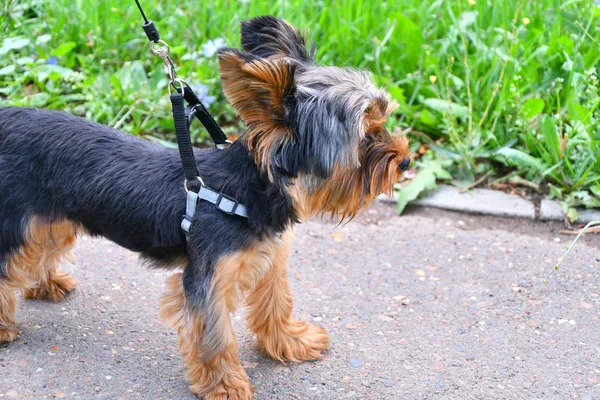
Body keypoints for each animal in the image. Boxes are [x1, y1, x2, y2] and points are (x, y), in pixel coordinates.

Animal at [0, 15, 410, 400]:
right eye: (366, 136)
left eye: (384, 120)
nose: (405, 160)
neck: (252, 192)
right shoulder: (208, 279)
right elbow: (216, 335)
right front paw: (225, 385)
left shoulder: (271, 259)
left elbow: (277, 304)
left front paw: (291, 342)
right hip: (17, 219)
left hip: (50, 218)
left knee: (39, 249)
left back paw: (45, 284)